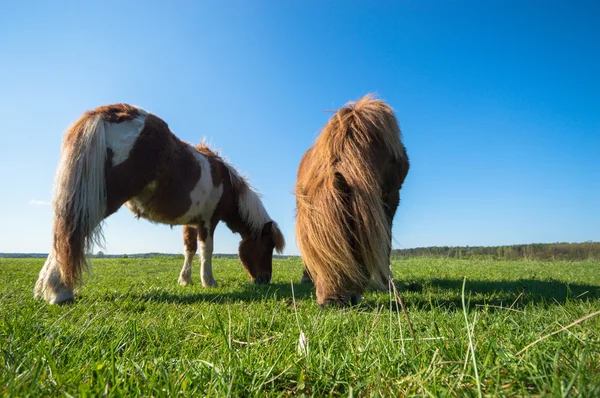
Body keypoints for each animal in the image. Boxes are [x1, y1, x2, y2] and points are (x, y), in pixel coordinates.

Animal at [34, 104, 284, 304]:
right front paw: (209, 281)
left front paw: (185, 280)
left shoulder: (191, 222)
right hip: (96, 203)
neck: (226, 182)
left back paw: (46, 290)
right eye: (267, 247)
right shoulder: (208, 221)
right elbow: (207, 250)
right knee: (71, 235)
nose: (265, 280)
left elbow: (189, 250)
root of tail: (106, 113)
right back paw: (61, 292)